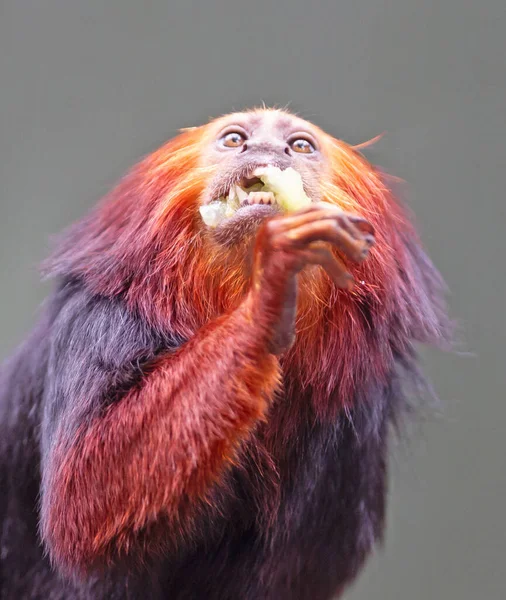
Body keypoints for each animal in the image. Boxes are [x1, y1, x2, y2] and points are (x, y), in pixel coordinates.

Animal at [0, 109, 450, 600]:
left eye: (300, 146)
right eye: (236, 140)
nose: (267, 151)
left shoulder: (355, 421)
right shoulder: (104, 319)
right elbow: (84, 501)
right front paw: (270, 290)